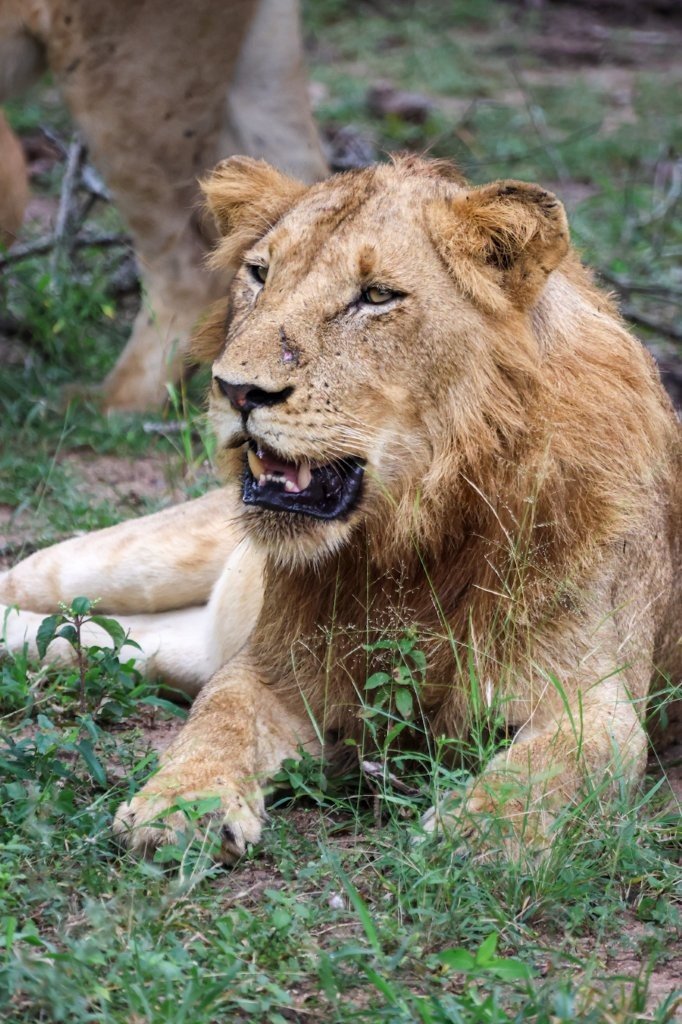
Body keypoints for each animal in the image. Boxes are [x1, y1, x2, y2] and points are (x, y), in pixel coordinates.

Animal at [1, 155, 680, 863]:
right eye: (259, 273)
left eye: (376, 296)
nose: (237, 391)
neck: (415, 530)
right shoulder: (271, 667)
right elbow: (218, 719)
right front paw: (183, 805)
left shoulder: (596, 704)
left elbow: (550, 767)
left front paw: (480, 832)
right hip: (120, 562)